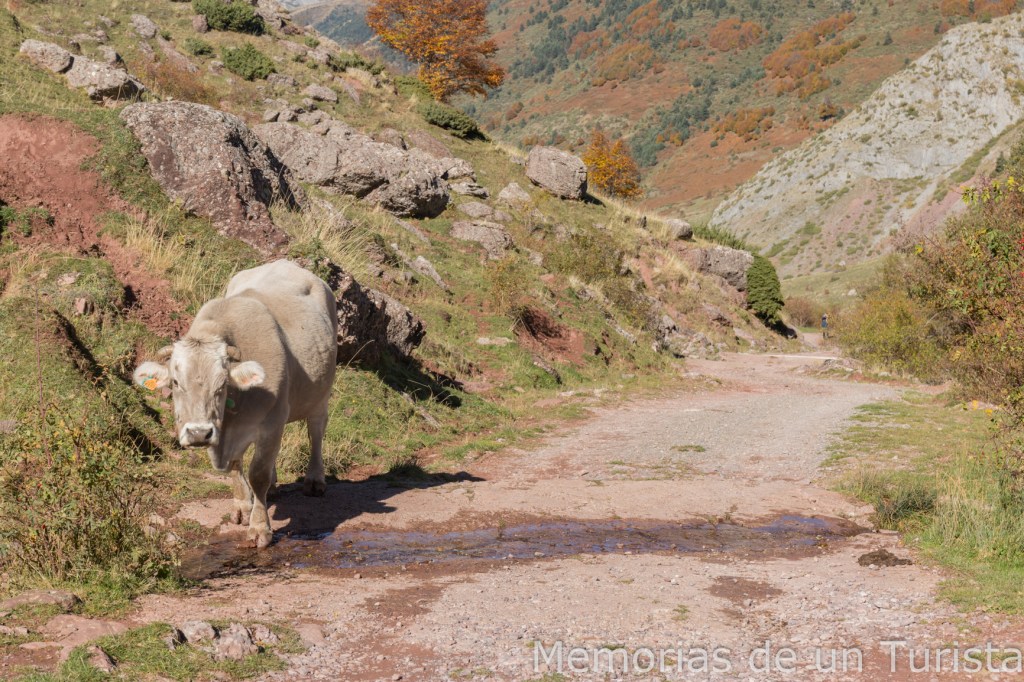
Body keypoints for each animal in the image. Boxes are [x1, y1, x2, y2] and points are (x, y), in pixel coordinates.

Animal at [134, 259, 338, 548]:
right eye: (175, 382)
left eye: (222, 384)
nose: (198, 433)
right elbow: (235, 466)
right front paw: (243, 506)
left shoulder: (272, 421)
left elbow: (258, 474)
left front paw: (260, 528)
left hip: (322, 390)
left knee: (316, 429)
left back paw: (314, 480)